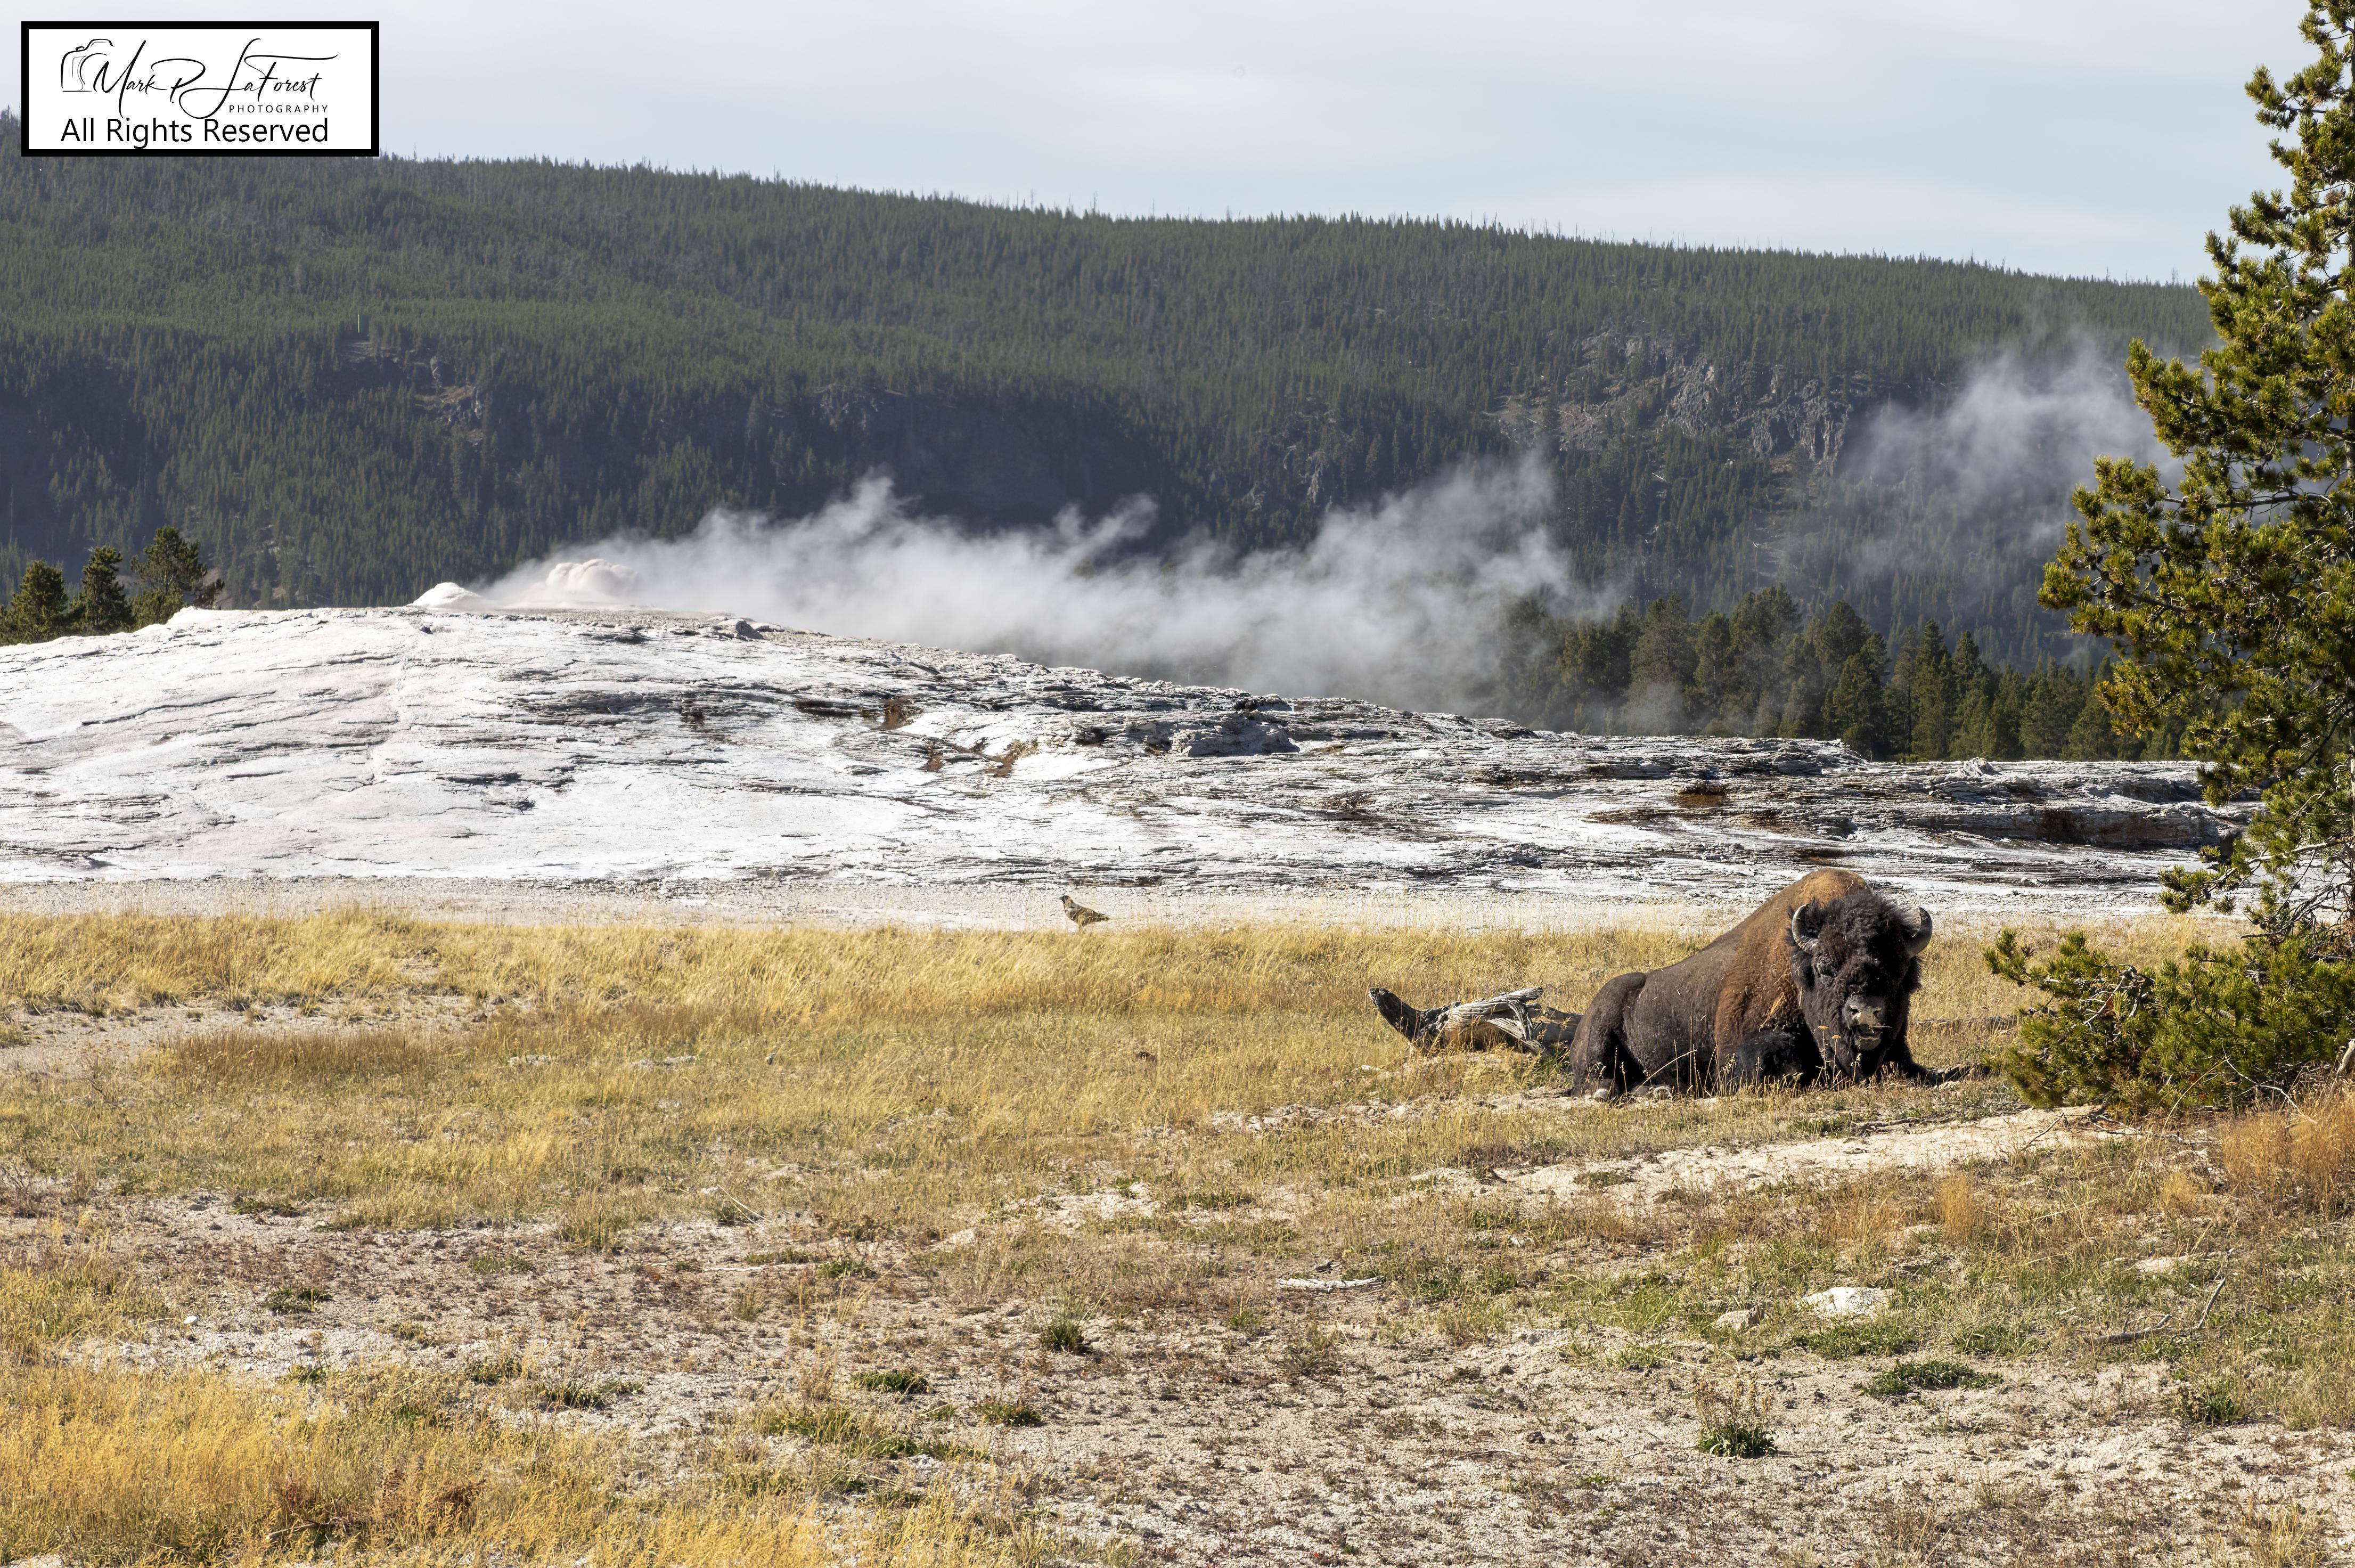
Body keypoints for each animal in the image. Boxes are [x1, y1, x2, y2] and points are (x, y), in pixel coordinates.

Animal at [1370, 870, 1953, 1095]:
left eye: (1902, 972)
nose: (1868, 1014)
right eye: (1827, 965)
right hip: (1601, 1038)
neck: (1796, 965)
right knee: (1599, 1083)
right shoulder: (1737, 1056)